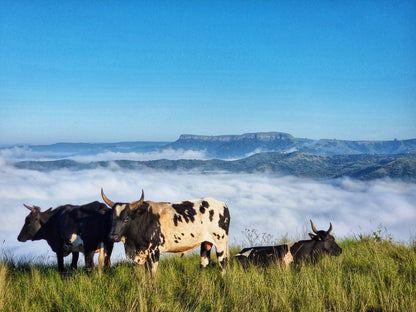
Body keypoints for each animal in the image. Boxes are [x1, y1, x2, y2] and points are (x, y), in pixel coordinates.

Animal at [101, 188, 231, 272]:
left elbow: (152, 273)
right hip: (206, 243)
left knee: (223, 264)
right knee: (204, 262)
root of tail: (222, 204)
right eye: (112, 217)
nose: (112, 236)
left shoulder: (154, 251)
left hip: (220, 243)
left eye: (126, 219)